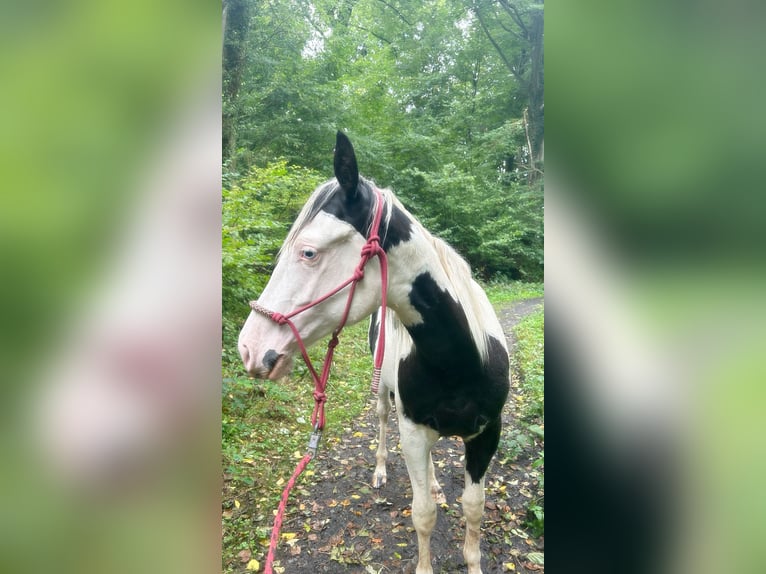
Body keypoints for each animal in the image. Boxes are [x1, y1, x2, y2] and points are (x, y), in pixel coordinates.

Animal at [238, 131, 510, 574]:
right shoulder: (412, 431)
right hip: (386, 397)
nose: (250, 348)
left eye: (309, 252)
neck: (459, 363)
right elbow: (423, 515)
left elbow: (474, 508)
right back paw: (383, 471)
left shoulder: (487, 433)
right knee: (384, 422)